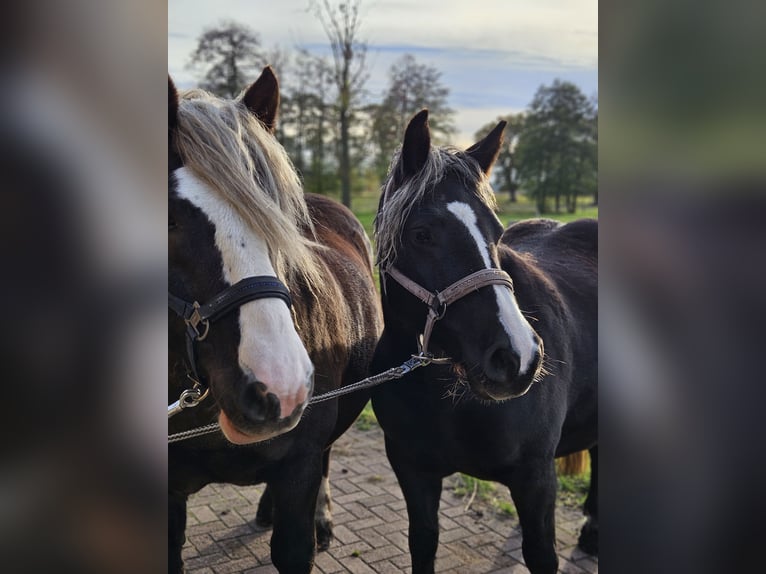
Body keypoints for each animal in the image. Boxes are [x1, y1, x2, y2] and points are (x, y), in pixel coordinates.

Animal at [370, 110, 597, 574]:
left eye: (497, 231)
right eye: (421, 234)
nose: (518, 358)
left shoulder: (535, 478)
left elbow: (542, 554)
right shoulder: (412, 469)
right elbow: (422, 542)